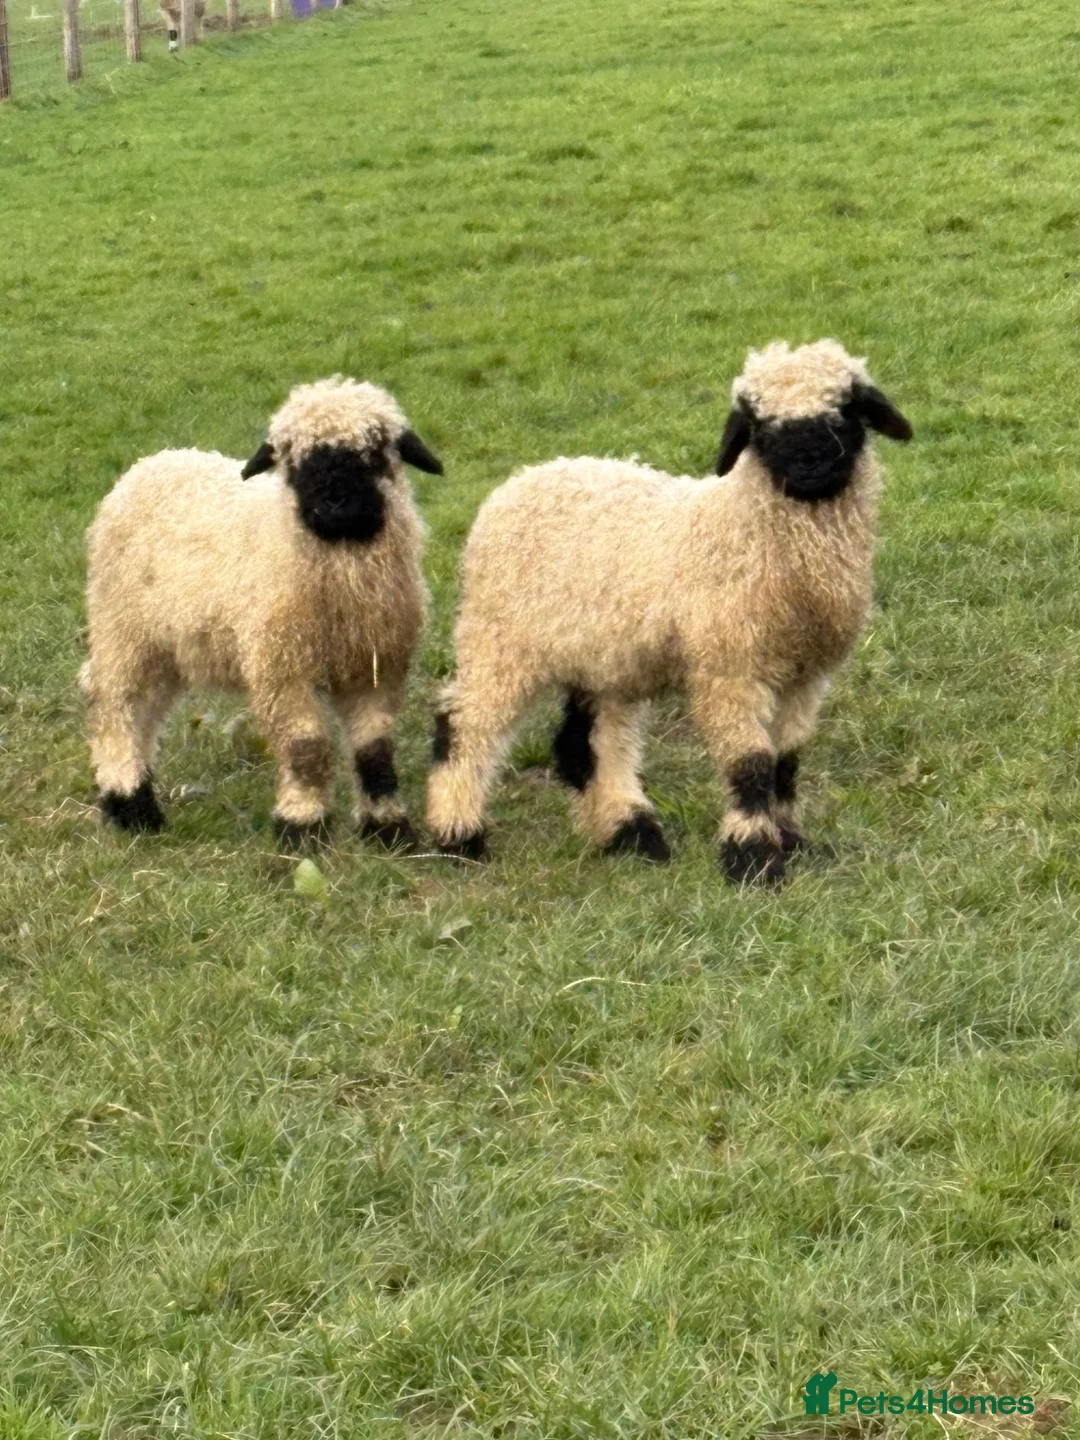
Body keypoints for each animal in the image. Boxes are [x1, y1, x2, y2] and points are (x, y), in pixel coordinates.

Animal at [81, 377, 443, 848]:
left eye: (375, 451)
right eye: (293, 458)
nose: (335, 503)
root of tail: (152, 462)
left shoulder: (375, 669)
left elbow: (375, 751)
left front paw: (388, 828)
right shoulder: (280, 667)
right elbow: (306, 748)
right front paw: (302, 825)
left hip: (167, 646)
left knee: (144, 712)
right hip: (123, 629)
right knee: (118, 709)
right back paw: (131, 805)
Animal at [426, 340, 912, 884]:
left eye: (846, 408)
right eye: (759, 425)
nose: (809, 463)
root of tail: (519, 481)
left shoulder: (805, 676)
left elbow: (785, 762)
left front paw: (790, 840)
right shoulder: (728, 667)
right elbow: (751, 763)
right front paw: (753, 858)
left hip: (601, 657)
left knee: (586, 745)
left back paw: (629, 834)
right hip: (500, 639)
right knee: (464, 724)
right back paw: (459, 834)